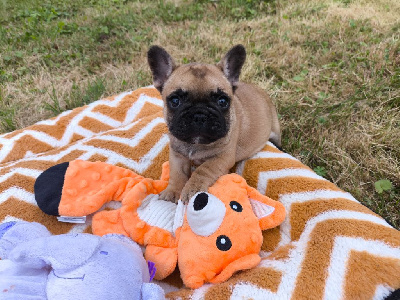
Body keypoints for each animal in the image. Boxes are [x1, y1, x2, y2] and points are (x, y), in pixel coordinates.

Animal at [147, 44, 282, 204]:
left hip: (275, 129)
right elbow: (177, 173)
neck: (196, 145)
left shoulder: (222, 157)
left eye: (222, 101)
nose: (199, 115)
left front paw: (192, 189)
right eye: (175, 101)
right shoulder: (177, 154)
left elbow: (203, 169)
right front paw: (172, 192)